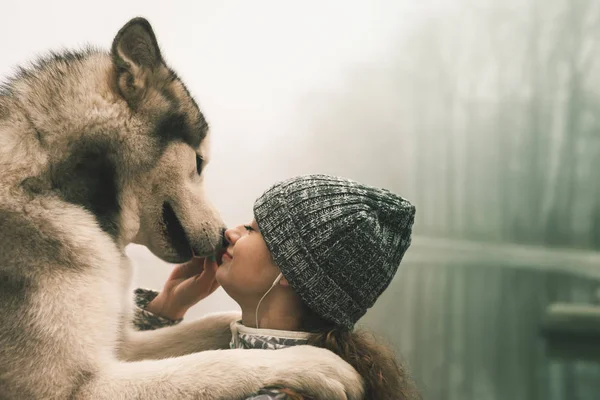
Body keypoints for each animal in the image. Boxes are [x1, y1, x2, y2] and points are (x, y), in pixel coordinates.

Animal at [0, 17, 360, 398]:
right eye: (199, 162)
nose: (224, 236)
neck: (60, 189)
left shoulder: (124, 344)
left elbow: (221, 323)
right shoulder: (78, 387)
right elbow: (221, 363)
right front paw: (317, 363)